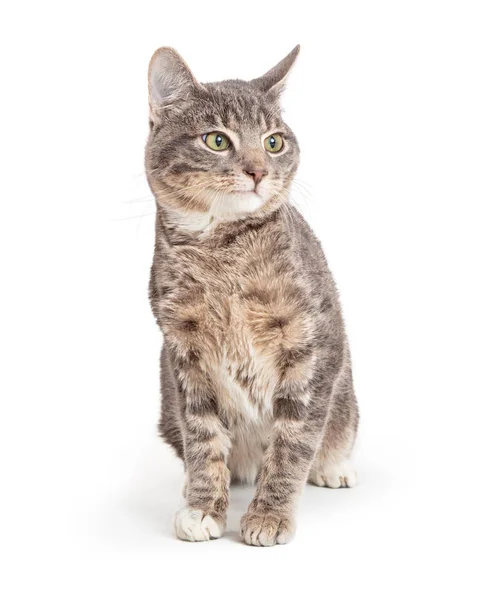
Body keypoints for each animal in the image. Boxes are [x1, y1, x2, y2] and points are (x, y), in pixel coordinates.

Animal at [146, 44, 360, 548]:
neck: (222, 250)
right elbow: (202, 435)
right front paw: (203, 507)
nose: (259, 170)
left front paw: (270, 514)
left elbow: (293, 437)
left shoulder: (312, 341)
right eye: (216, 140)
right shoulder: (182, 350)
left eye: (274, 142)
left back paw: (333, 466)